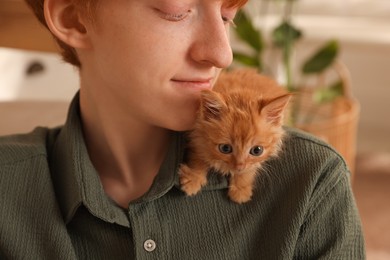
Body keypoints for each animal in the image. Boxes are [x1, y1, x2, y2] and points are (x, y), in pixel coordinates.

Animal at [178, 69, 290, 203]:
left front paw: (241, 189)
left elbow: (250, 168)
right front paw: (193, 178)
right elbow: (198, 157)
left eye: (257, 150)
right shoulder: (198, 136)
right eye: (225, 148)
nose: (239, 166)